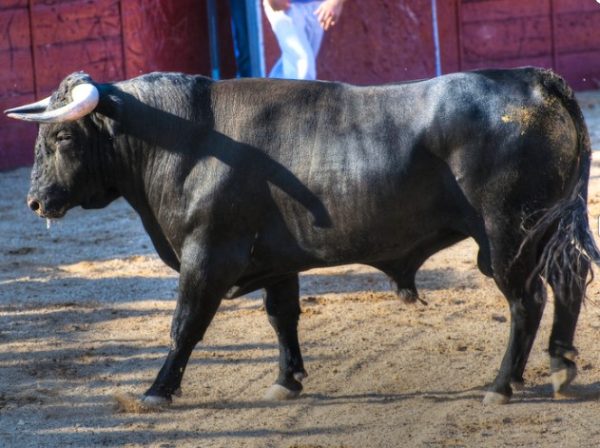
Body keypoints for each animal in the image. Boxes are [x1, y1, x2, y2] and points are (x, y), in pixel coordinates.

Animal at [5, 67, 600, 406]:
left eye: (61, 137)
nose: (35, 201)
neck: (185, 139)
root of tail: (534, 80)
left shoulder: (208, 256)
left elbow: (184, 325)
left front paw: (156, 391)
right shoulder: (277, 260)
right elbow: (282, 317)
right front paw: (286, 380)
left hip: (506, 238)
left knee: (527, 301)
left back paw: (501, 386)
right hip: (541, 232)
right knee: (566, 286)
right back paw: (559, 366)